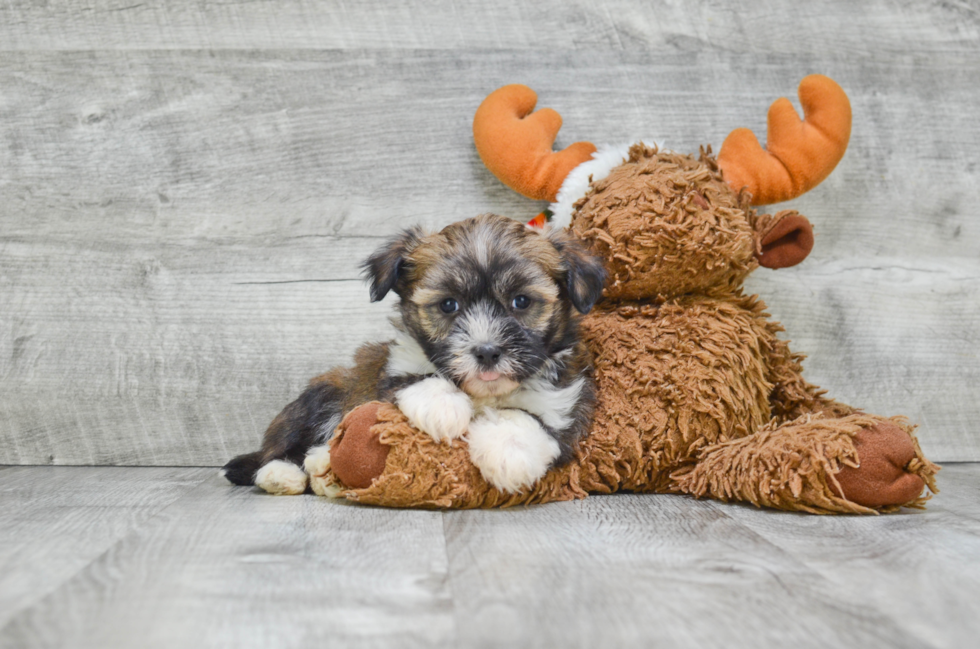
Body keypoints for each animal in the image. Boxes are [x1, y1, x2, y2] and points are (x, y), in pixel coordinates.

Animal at [222, 213, 604, 492]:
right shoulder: (393, 371)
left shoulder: (562, 403)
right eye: (448, 305)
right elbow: (419, 378)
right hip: (319, 395)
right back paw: (282, 474)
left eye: (521, 301)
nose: (487, 352)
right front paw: (442, 408)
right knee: (278, 450)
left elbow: (525, 418)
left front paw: (508, 455)